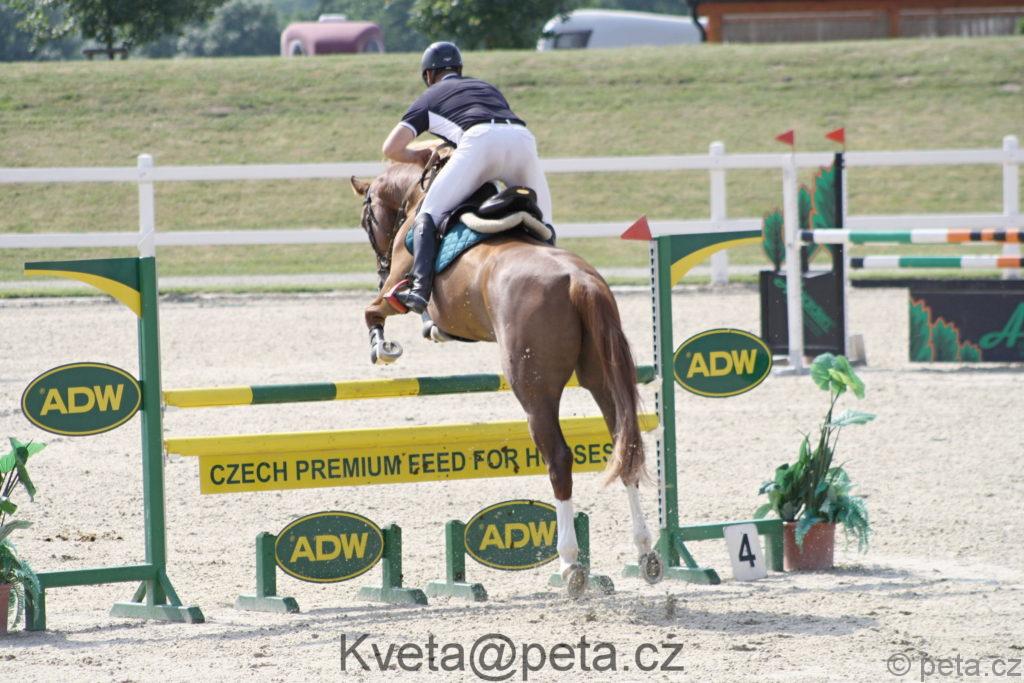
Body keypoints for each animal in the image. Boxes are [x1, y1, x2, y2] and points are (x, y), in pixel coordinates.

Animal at [349, 156, 664, 595]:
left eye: (367, 220)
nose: (379, 269)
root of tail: (579, 281)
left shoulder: (397, 286)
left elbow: (373, 311)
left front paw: (384, 347)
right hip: (601, 378)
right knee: (624, 443)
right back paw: (645, 552)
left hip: (533, 390)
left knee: (559, 459)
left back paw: (570, 564)